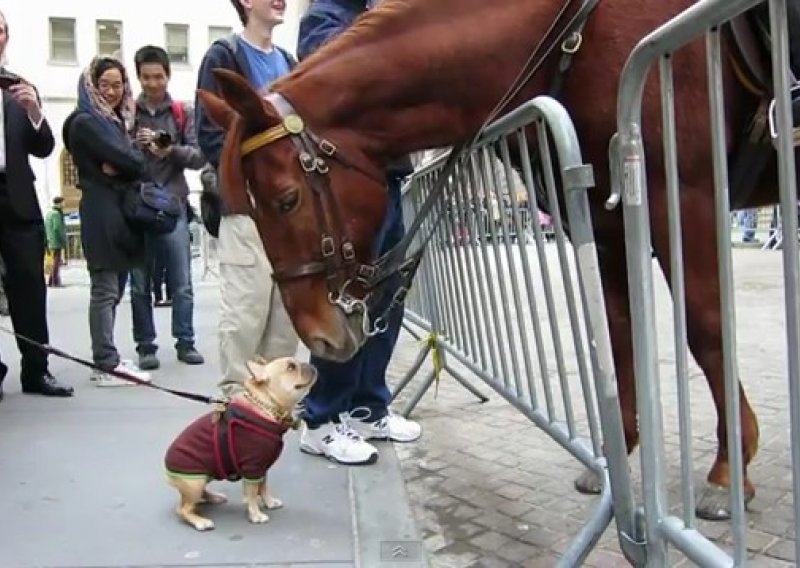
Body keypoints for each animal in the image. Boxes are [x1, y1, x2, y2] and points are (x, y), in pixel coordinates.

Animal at [198, 0, 768, 520]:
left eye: (286, 199)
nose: (318, 335)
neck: (576, 37)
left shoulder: (684, 195)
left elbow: (707, 329)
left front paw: (727, 471)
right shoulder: (604, 217)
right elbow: (615, 334)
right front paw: (619, 457)